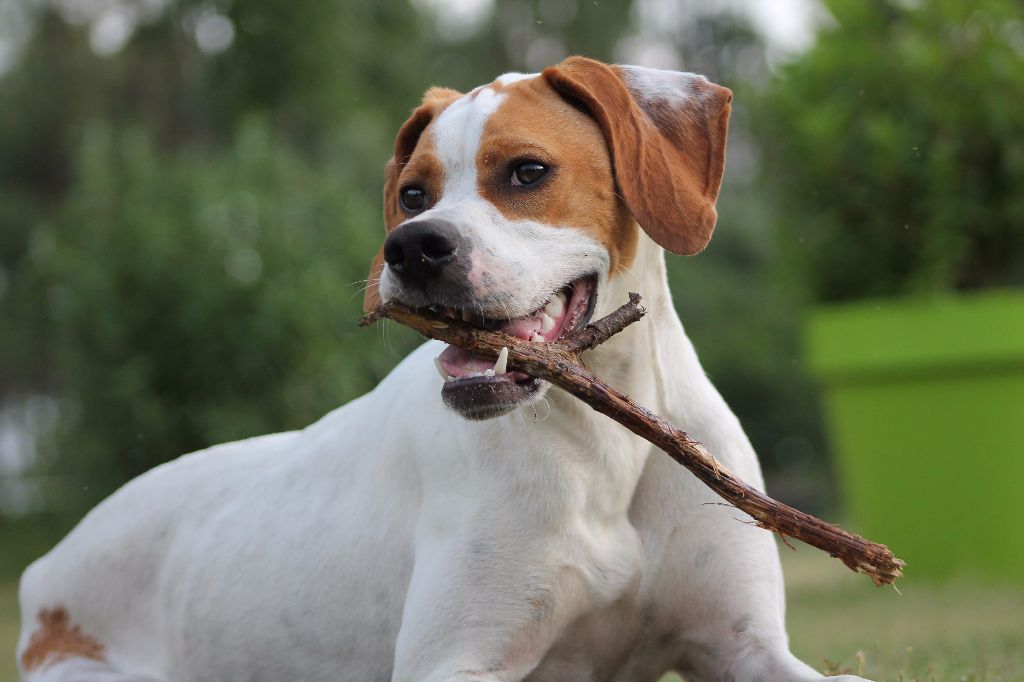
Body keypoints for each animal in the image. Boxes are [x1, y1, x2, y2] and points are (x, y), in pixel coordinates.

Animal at [16, 58, 864, 679]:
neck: (604, 441)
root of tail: (41, 578)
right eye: (411, 193)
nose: (413, 248)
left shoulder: (747, 646)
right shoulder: (456, 663)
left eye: (526, 171)